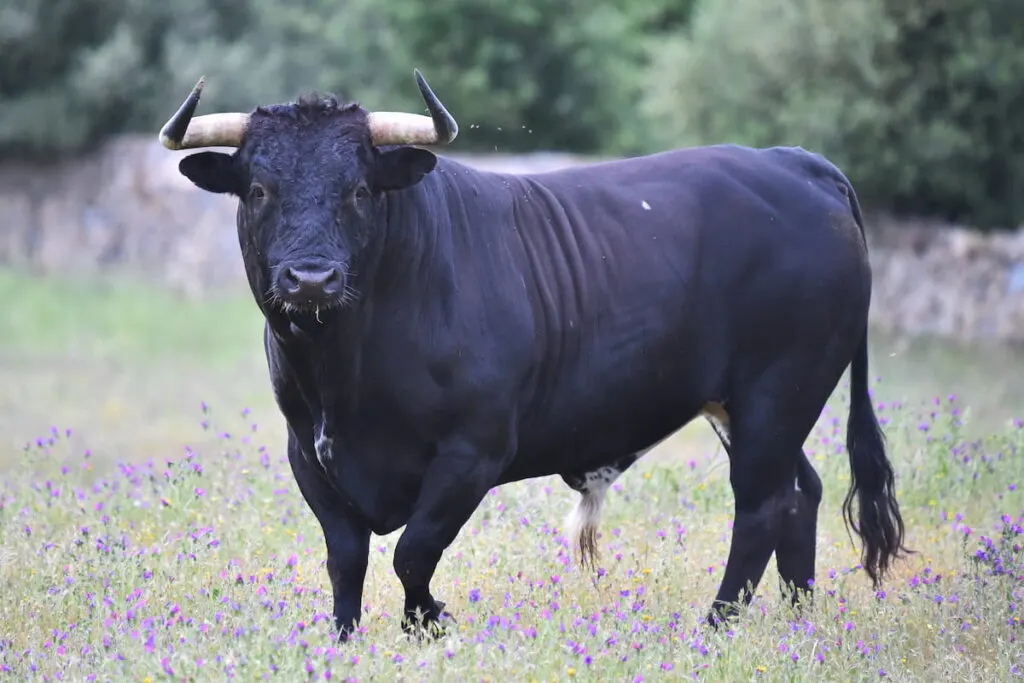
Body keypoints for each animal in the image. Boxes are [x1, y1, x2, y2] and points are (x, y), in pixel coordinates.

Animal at [161, 70, 913, 643]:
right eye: (260, 189)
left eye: (360, 189)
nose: (311, 279)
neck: (344, 373)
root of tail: (795, 162)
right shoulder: (308, 450)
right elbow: (346, 557)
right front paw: (343, 643)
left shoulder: (474, 448)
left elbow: (412, 551)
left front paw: (429, 624)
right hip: (749, 406)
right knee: (799, 491)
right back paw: (797, 616)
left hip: (779, 392)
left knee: (761, 504)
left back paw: (716, 626)